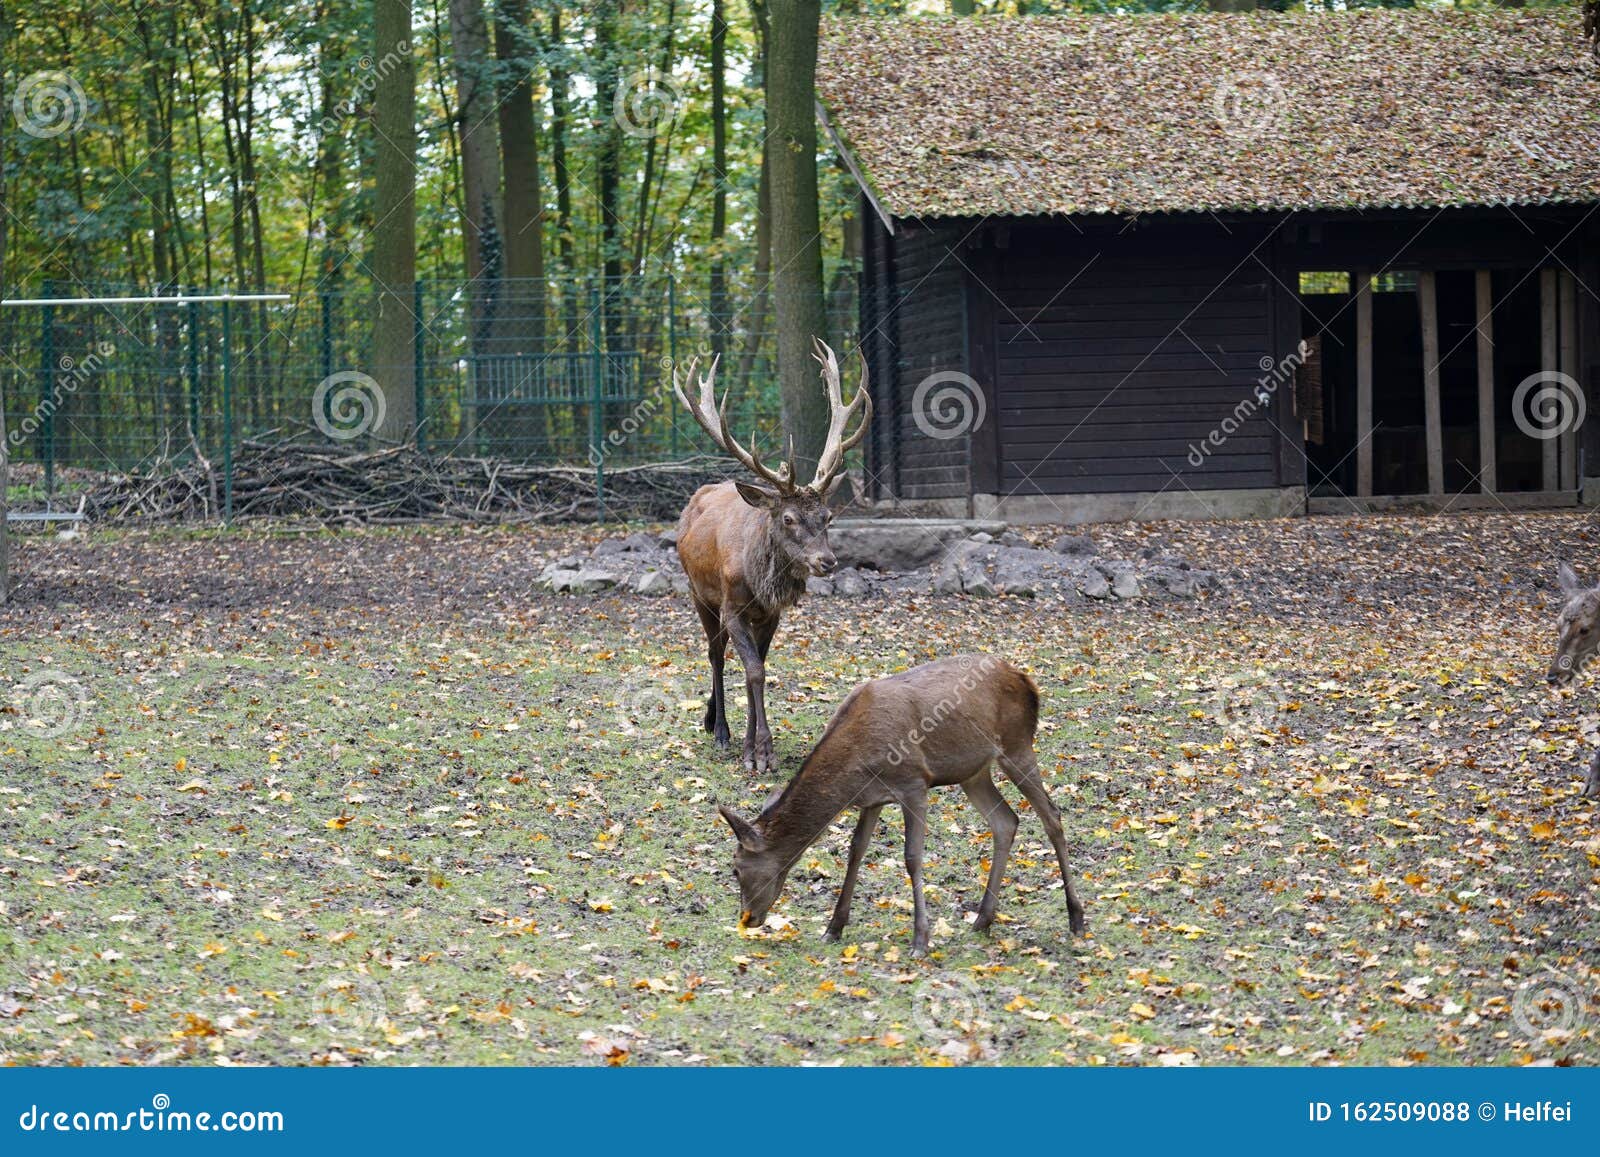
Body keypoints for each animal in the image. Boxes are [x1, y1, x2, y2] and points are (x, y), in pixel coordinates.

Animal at [675, 344, 876, 777]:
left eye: (828, 516)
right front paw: (759, 753)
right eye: (788, 518)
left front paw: (755, 747)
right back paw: (719, 730)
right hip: (698, 593)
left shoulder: (771, 614)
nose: (827, 561)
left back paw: (714, 721)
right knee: (715, 655)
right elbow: (753, 670)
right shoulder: (733, 607)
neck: (756, 582)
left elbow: (761, 668)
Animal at [716, 656, 1081, 953]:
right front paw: (833, 928)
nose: (747, 918)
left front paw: (921, 939)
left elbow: (912, 857)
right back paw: (982, 920)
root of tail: (1026, 680)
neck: (856, 764)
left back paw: (1076, 917)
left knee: (1051, 815)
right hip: (974, 772)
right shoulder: (871, 799)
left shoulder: (914, 783)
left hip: (1017, 744)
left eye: (735, 868)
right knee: (1006, 821)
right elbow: (856, 851)